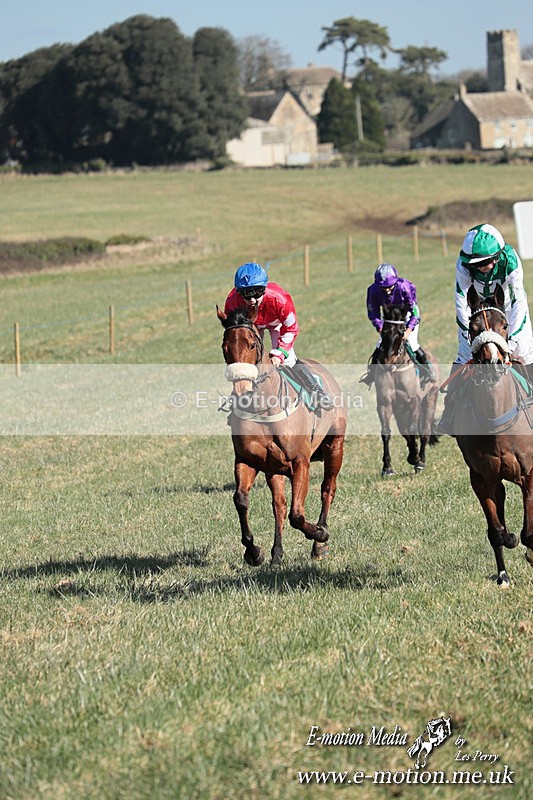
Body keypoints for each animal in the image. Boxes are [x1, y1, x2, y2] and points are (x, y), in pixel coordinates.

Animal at [217, 306, 346, 567]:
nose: (241, 389)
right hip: (274, 469)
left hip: (334, 446)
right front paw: (253, 551)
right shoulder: (248, 460)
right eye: (225, 347)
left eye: (251, 344)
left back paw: (319, 543)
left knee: (328, 489)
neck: (263, 407)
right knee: (279, 505)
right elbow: (241, 499)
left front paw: (319, 533)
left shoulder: (300, 461)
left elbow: (297, 514)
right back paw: (277, 553)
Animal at [374, 306, 440, 477]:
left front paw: (416, 459)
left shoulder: (414, 401)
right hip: (400, 410)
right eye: (384, 330)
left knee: (424, 431)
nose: (388, 360)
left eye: (401, 331)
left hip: (430, 398)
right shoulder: (385, 403)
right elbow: (386, 432)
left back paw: (420, 461)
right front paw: (387, 467)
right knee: (405, 431)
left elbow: (413, 430)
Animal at [452, 283, 533, 587]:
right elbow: (497, 531)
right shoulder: (481, 477)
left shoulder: (529, 474)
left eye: (504, 325)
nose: (493, 362)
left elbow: (529, 533)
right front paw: (503, 574)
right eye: (473, 328)